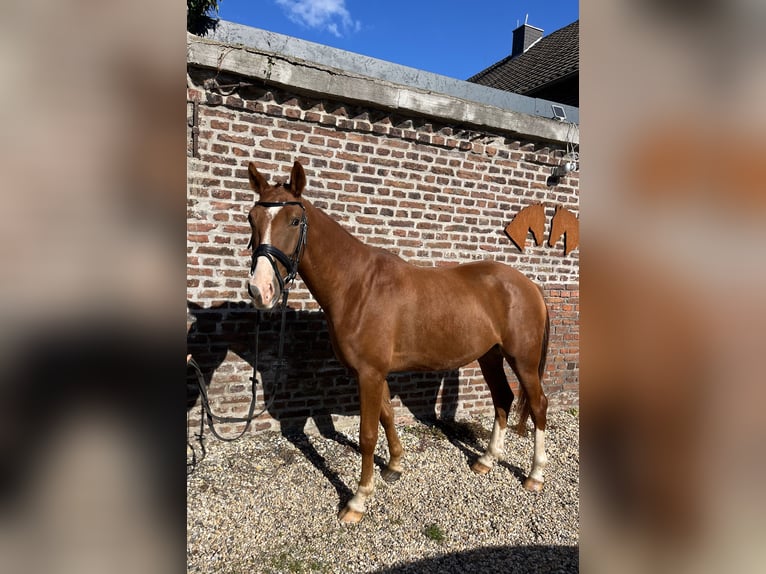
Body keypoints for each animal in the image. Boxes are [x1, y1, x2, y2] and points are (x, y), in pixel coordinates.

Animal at [246, 160, 552, 524]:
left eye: (294, 220)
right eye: (252, 218)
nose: (259, 290)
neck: (357, 286)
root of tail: (529, 285)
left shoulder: (369, 374)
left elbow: (367, 434)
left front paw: (358, 500)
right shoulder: (374, 373)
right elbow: (388, 416)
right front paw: (394, 467)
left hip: (523, 360)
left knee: (538, 405)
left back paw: (535, 476)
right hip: (490, 355)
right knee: (503, 398)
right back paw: (487, 461)